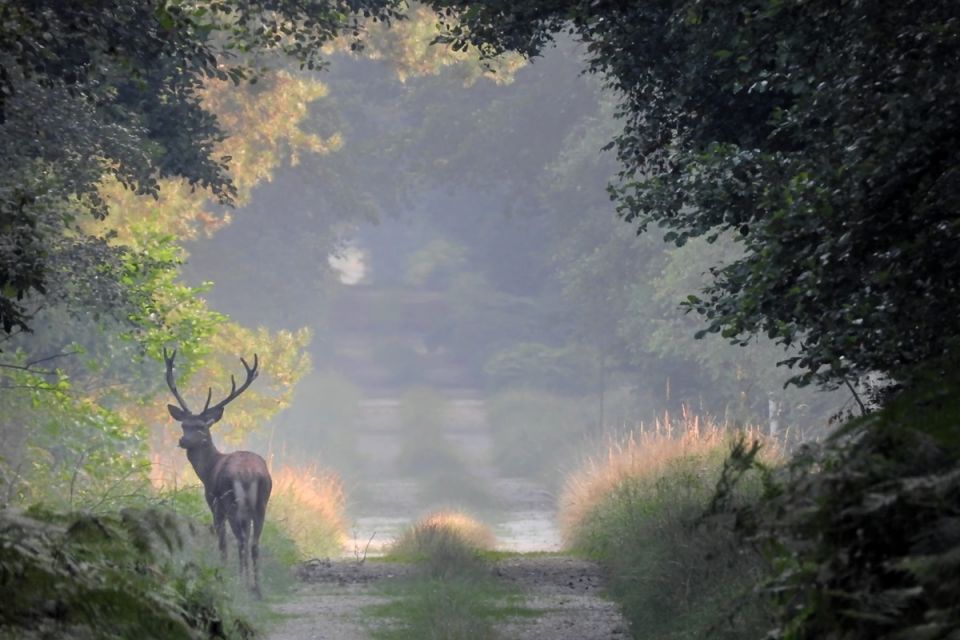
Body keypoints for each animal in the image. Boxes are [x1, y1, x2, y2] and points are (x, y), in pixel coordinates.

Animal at [163, 348, 272, 596]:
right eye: (184, 425)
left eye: (201, 427)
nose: (183, 440)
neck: (208, 469)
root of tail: (249, 473)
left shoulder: (213, 503)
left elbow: (221, 543)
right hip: (261, 502)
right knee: (254, 542)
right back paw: (257, 588)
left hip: (230, 500)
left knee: (239, 540)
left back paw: (241, 584)